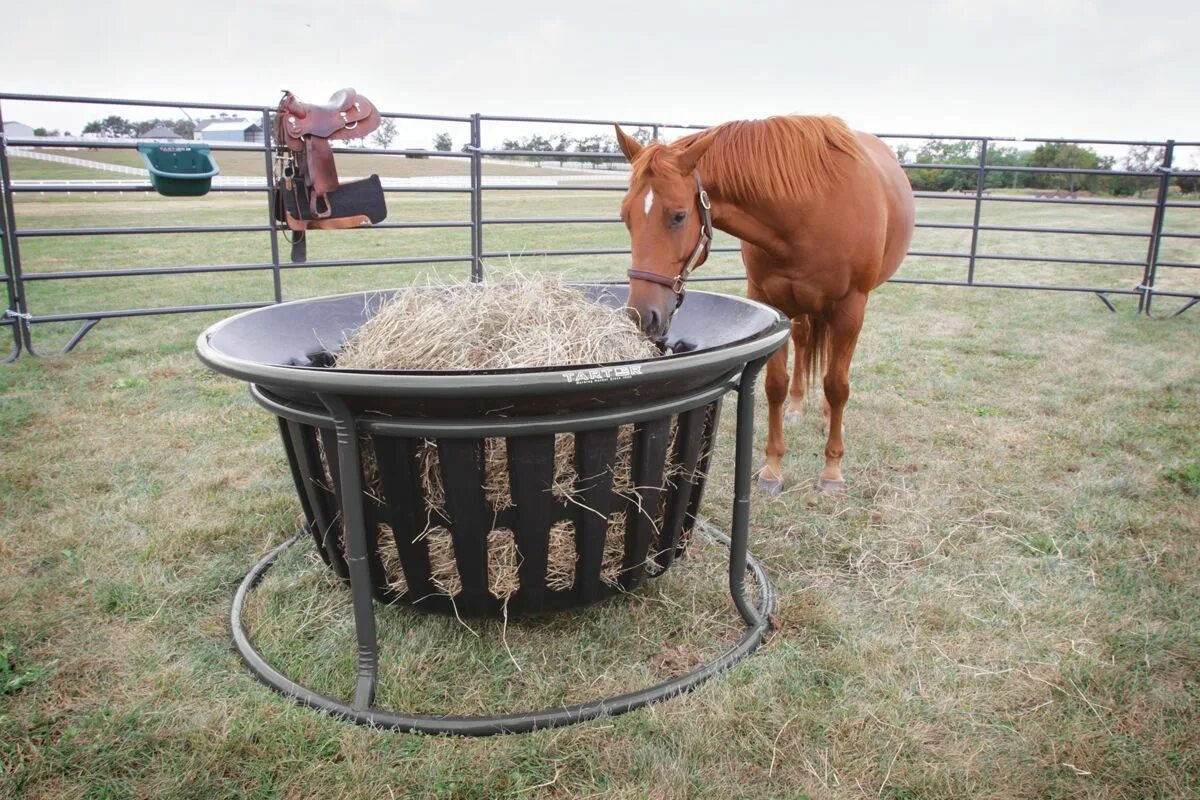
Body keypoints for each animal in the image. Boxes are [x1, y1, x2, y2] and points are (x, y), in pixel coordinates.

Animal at [619, 117, 907, 494]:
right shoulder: (772, 301)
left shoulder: (850, 308)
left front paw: (832, 471)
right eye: (625, 216)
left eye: (679, 216)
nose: (642, 315)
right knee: (805, 343)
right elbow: (774, 385)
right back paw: (798, 407)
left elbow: (836, 385)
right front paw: (772, 469)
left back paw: (829, 418)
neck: (809, 211)